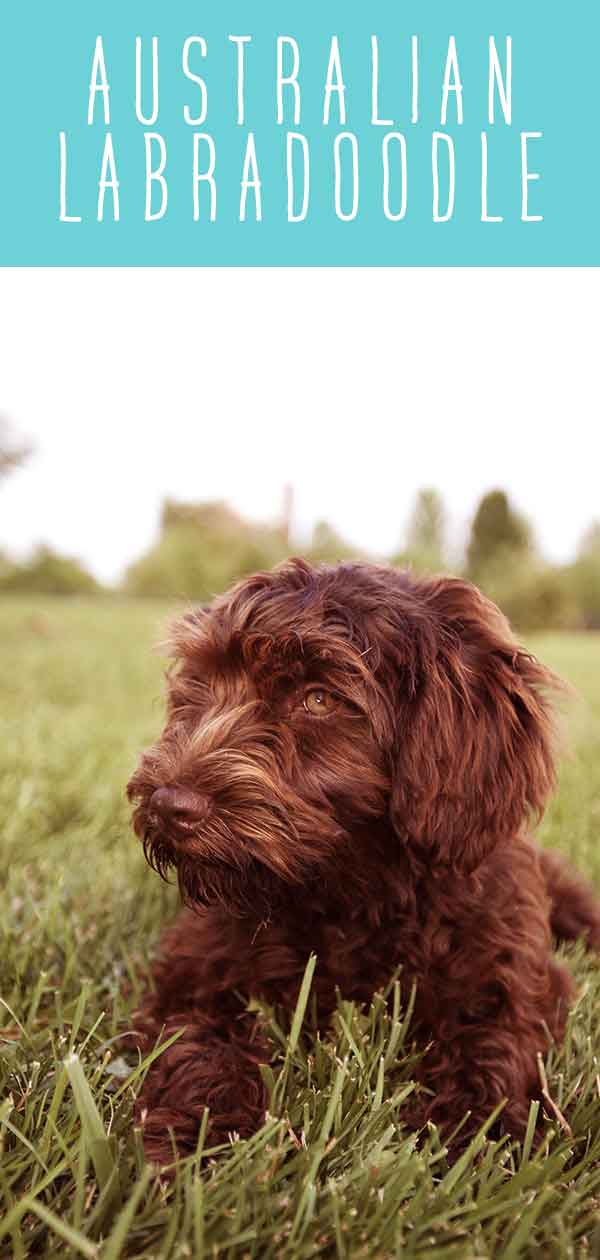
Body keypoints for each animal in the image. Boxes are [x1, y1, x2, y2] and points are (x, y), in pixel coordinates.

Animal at [126, 559, 600, 1159]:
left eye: (319, 699)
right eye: (203, 683)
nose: (168, 806)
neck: (356, 891)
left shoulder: (507, 970)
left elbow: (496, 1044)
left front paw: (475, 1139)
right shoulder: (198, 965)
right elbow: (199, 1037)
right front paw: (198, 1133)